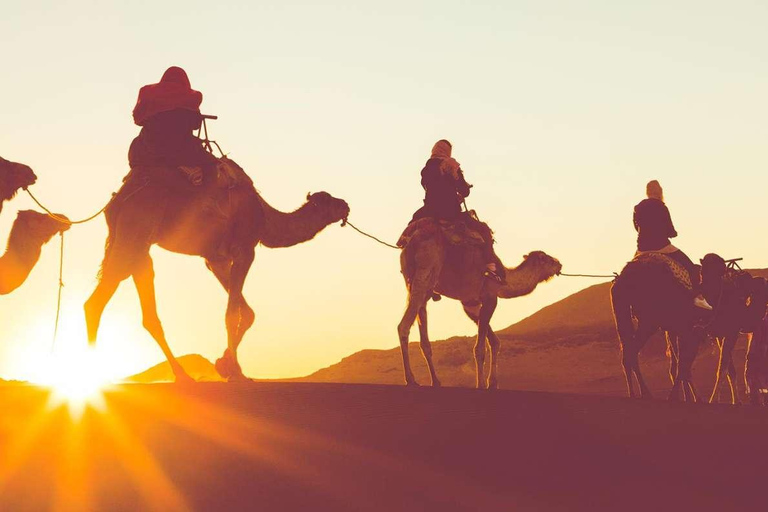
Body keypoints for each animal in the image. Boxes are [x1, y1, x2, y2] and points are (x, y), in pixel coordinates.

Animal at [85, 162, 350, 382]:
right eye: (329, 201)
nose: (346, 205)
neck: (264, 217)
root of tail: (117, 201)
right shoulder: (245, 250)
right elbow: (232, 313)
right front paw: (236, 374)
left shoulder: (216, 260)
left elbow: (247, 312)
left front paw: (225, 364)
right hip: (136, 228)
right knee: (98, 299)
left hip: (139, 246)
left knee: (144, 305)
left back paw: (181, 375)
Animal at [396, 224, 560, 388]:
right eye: (546, 259)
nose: (559, 264)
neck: (504, 281)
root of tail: (412, 240)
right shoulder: (490, 297)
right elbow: (480, 348)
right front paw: (481, 384)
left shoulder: (470, 304)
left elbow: (494, 341)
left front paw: (492, 383)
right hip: (427, 270)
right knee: (403, 326)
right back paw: (411, 380)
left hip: (414, 281)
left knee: (423, 331)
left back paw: (436, 381)